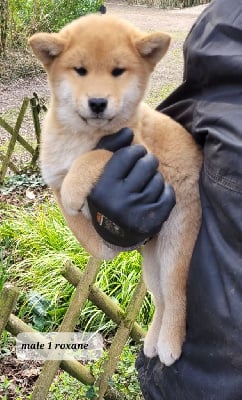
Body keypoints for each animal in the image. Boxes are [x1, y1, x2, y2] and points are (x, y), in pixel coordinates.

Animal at [28, 14, 202, 366]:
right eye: (80, 70)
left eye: (118, 71)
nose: (97, 102)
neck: (77, 137)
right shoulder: (54, 178)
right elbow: (78, 222)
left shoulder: (137, 151)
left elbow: (93, 158)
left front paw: (76, 186)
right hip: (151, 262)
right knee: (161, 300)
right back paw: (152, 342)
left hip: (175, 248)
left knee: (177, 296)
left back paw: (169, 344)